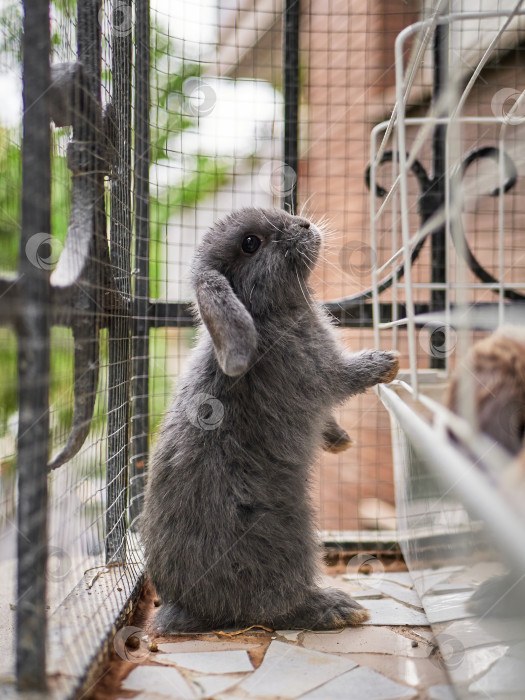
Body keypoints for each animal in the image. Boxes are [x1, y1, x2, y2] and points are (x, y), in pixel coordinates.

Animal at [141, 208, 400, 636]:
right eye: (250, 243)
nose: (304, 225)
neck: (265, 315)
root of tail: (186, 606)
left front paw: (341, 441)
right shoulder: (321, 373)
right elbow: (347, 378)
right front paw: (387, 362)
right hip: (291, 538)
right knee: (275, 605)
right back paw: (338, 609)